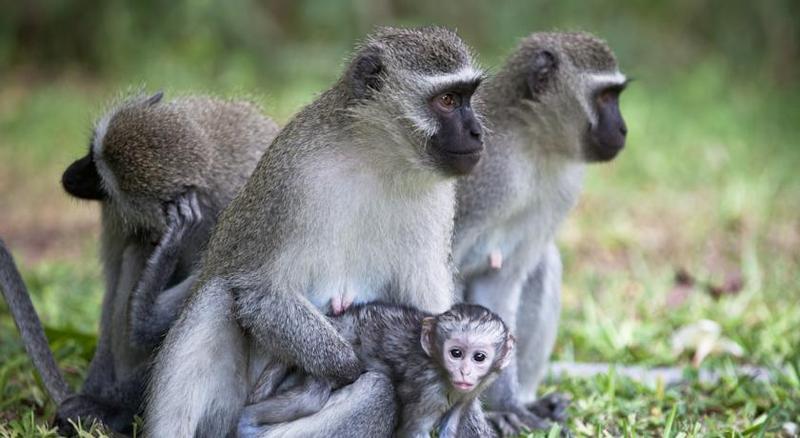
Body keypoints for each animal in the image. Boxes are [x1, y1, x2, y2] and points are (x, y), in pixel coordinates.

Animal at [238, 302, 512, 438]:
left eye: (479, 357)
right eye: (455, 353)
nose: (464, 372)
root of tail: (337, 320)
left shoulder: (470, 392)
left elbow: (451, 427)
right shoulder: (428, 390)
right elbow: (414, 431)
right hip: (327, 353)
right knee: (310, 399)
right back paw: (246, 421)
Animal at [454, 30, 628, 434]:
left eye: (616, 96)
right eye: (605, 97)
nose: (623, 128)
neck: (531, 145)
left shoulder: (562, 187)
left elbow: (500, 283)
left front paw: (505, 406)